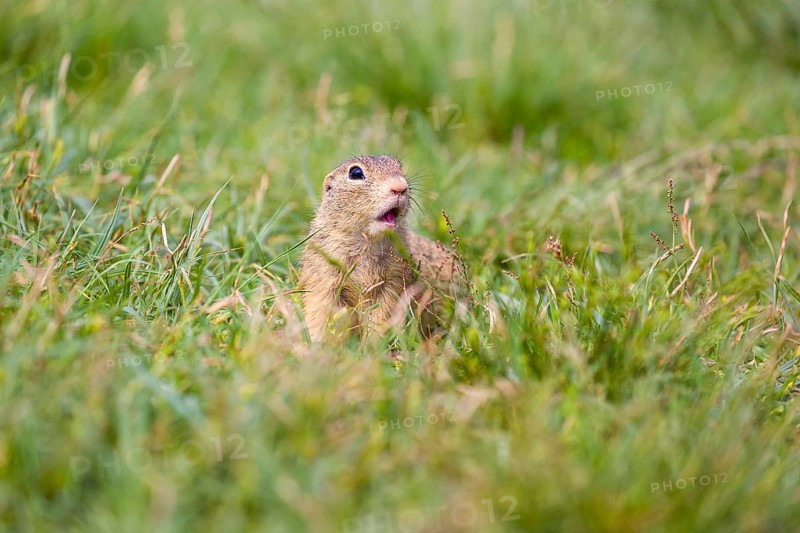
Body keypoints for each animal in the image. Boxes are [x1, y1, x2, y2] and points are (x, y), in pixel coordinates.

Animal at [298, 155, 456, 342]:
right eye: (355, 173)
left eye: (399, 167)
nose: (400, 187)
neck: (368, 242)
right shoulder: (324, 274)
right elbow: (320, 310)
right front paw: (317, 343)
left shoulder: (394, 280)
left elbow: (383, 314)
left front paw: (374, 343)